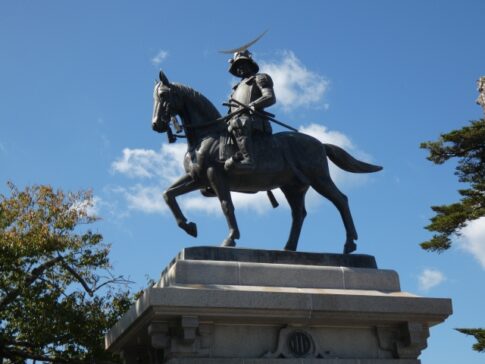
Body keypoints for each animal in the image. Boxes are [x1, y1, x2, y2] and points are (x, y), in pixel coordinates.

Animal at [151, 70, 382, 253]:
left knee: (341, 200)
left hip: (319, 178)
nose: (156, 125)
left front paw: (230, 239)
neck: (206, 135)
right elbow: (168, 194)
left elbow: (227, 205)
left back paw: (349, 243)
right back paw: (289, 248)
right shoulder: (196, 178)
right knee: (299, 214)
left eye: (163, 95)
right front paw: (189, 226)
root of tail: (319, 143)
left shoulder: (214, 175)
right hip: (293, 187)